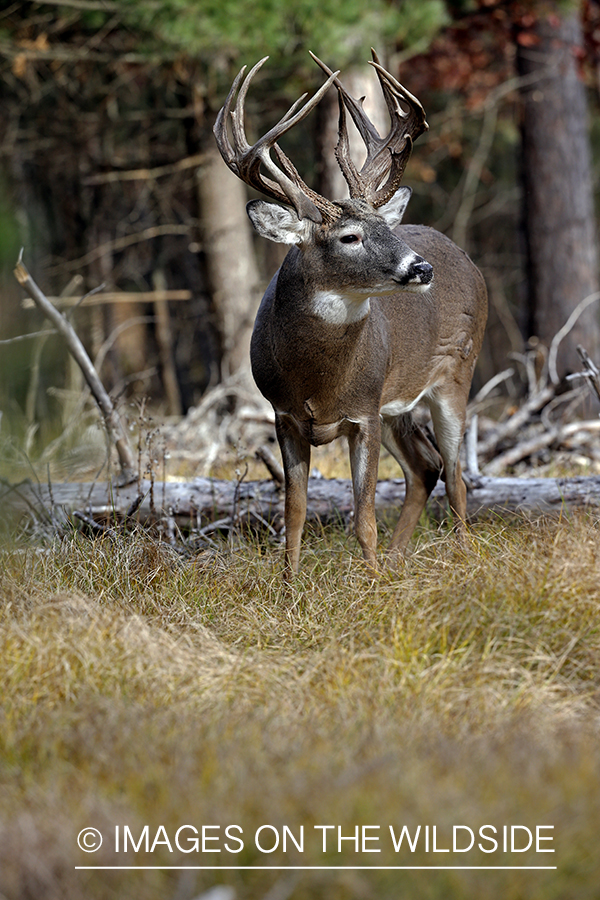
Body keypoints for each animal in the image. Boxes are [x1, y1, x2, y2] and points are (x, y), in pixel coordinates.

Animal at [214, 51, 488, 576]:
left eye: (385, 227)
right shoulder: (284, 415)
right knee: (425, 468)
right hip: (398, 402)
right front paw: (289, 583)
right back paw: (400, 560)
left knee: (456, 473)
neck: (318, 382)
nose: (420, 267)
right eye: (349, 237)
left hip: (455, 374)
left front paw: (372, 583)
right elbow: (294, 512)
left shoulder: (364, 412)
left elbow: (364, 517)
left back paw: (462, 557)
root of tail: (467, 259)